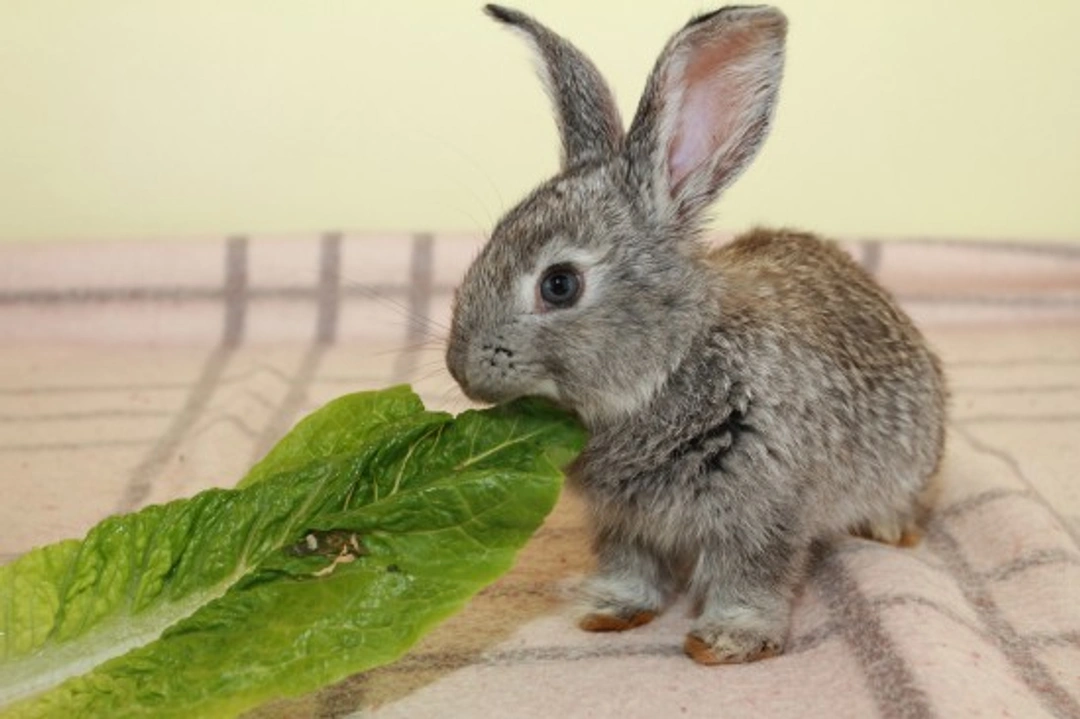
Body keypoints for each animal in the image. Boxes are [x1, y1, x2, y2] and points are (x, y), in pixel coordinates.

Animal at [445, 4, 947, 665]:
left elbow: (751, 576)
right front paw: (609, 612)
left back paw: (890, 530)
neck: (671, 366)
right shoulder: (622, 523)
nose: (461, 369)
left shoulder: (765, 507)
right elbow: (629, 567)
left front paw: (727, 643)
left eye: (559, 284)